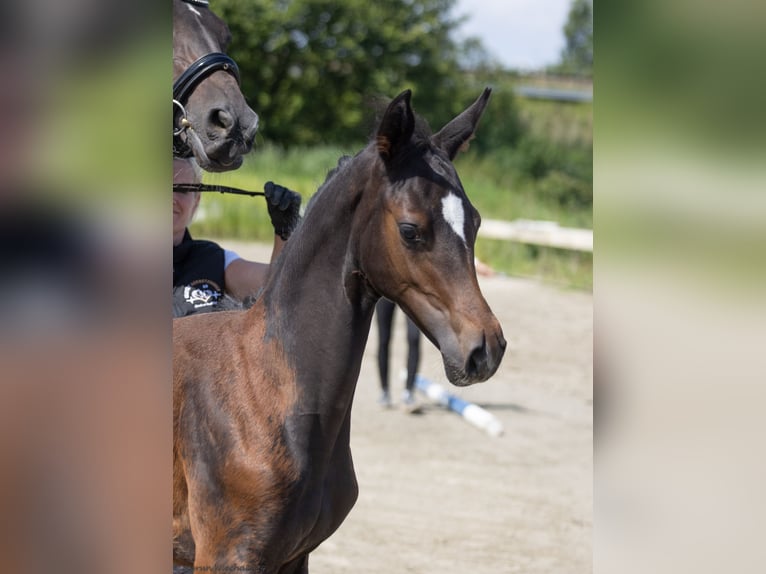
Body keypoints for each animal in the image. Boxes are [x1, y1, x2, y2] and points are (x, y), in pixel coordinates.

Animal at [175, 88, 510, 572]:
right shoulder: (226, 558)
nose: (486, 348)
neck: (264, 389)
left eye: (477, 221)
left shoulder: (295, 557)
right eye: (410, 230)